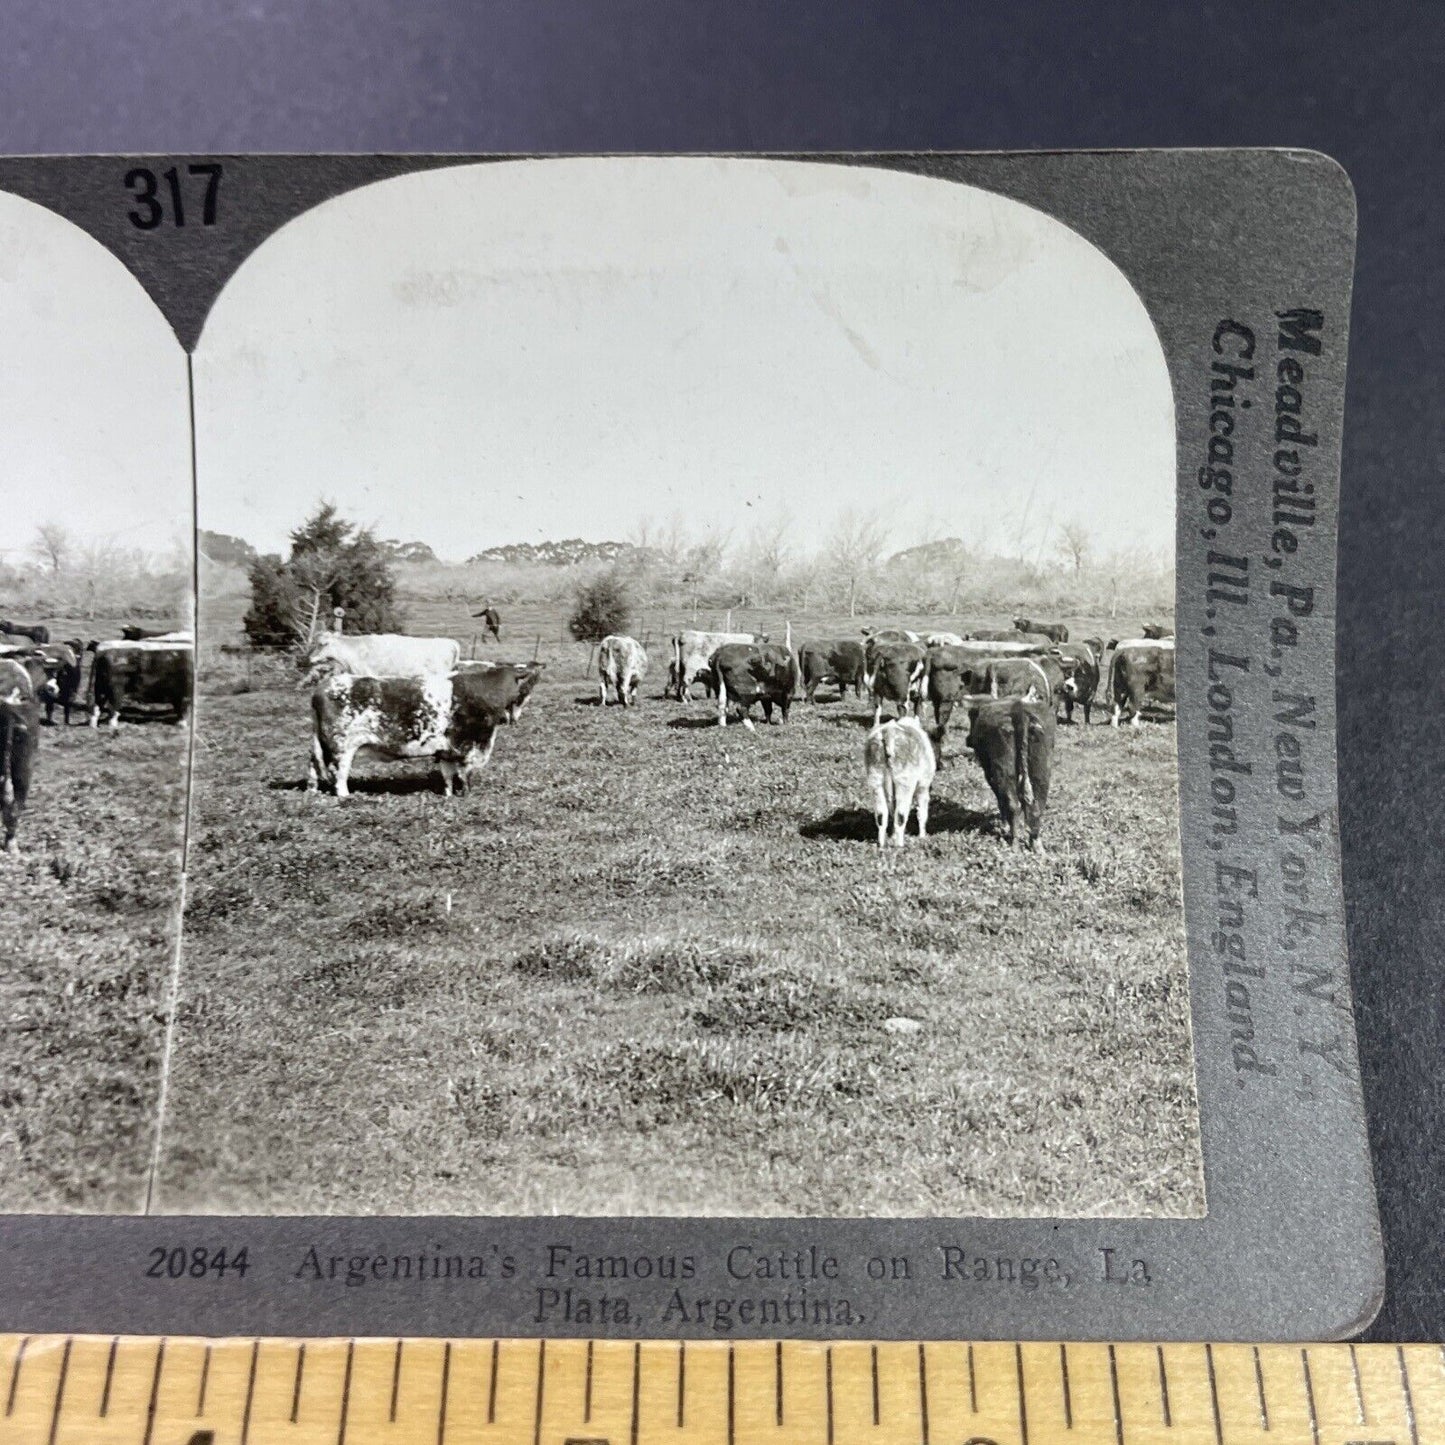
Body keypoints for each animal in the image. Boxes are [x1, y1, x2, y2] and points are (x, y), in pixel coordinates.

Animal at [306, 664, 543, 803]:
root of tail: (323, 687)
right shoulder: (468, 746)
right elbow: (465, 774)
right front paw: (466, 794)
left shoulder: (447, 750)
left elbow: (447, 775)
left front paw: (448, 796)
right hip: (342, 748)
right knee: (339, 774)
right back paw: (346, 797)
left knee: (313, 768)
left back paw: (313, 791)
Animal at [861, 713, 942, 843]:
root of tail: (888, 732)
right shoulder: (923, 786)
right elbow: (922, 813)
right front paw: (922, 836)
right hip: (905, 782)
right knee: (900, 816)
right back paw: (899, 845)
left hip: (875, 779)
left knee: (881, 816)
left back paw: (882, 844)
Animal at [965, 690, 1057, 843]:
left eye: (971, 716)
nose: (968, 740)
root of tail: (1020, 710)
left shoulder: (988, 770)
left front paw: (1004, 826)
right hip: (1042, 768)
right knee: (1037, 805)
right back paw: (1035, 843)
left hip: (1003, 769)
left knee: (1012, 804)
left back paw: (1013, 839)